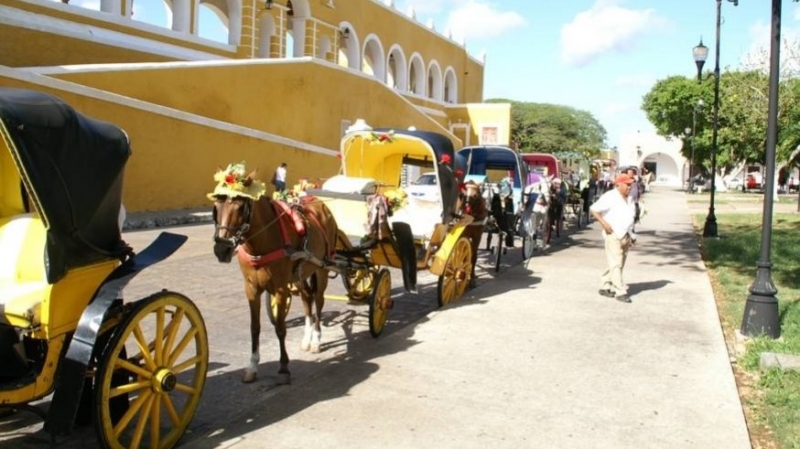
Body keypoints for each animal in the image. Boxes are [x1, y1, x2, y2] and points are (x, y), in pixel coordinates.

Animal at [211, 170, 336, 384]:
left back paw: (316, 340)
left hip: (322, 268)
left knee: (318, 301)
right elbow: (254, 327)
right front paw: (252, 366)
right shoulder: (251, 288)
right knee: (307, 298)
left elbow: (280, 327)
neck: (261, 242)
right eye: (216, 207)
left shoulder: (280, 288)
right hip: (301, 273)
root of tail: (320, 203)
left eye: (241, 207)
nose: (222, 249)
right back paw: (307, 338)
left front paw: (284, 367)